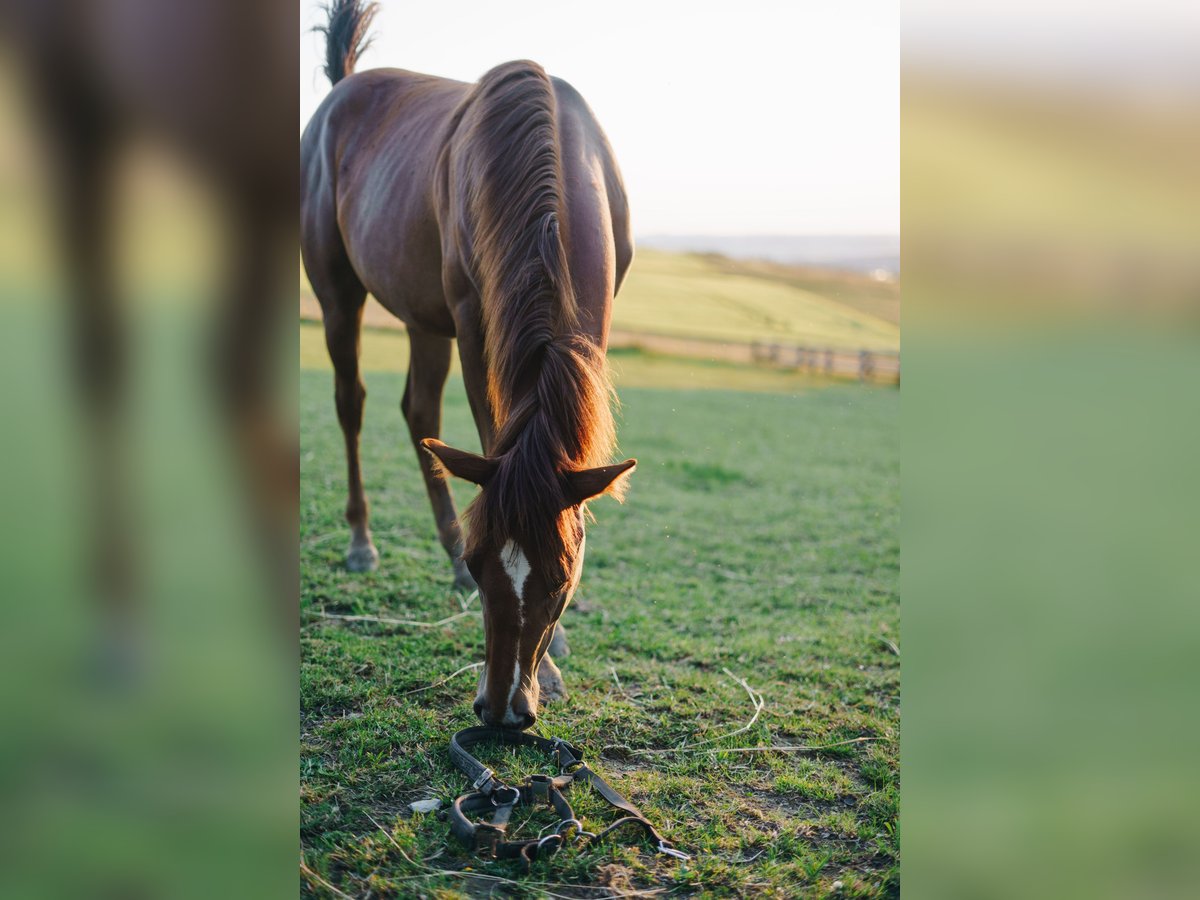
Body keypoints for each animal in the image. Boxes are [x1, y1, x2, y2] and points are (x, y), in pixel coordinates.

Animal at [300, 0, 638, 729]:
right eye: (487, 565)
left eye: (562, 577)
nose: (504, 709)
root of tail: (345, 85)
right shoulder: (473, 321)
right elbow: (489, 437)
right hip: (342, 296)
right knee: (352, 405)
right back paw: (363, 541)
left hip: (424, 317)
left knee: (418, 412)